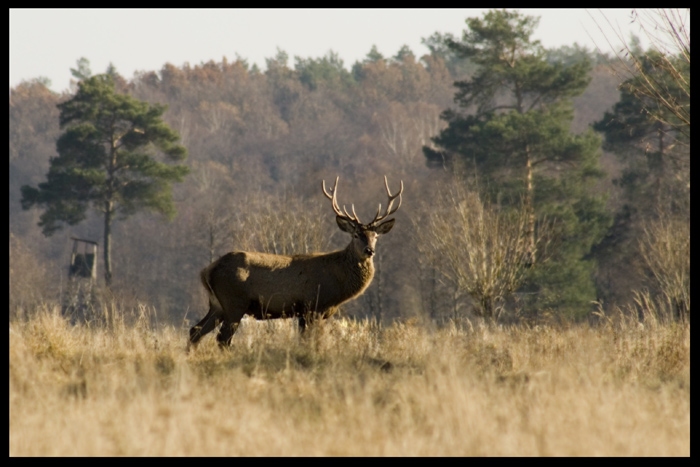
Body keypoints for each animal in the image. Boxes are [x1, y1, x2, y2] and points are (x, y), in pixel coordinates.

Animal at [189, 176, 402, 348]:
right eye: (356, 235)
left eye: (375, 236)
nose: (369, 250)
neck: (338, 284)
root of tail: (207, 271)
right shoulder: (313, 305)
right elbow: (311, 341)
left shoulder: (308, 312)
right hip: (234, 301)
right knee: (223, 338)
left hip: (217, 304)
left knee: (195, 331)